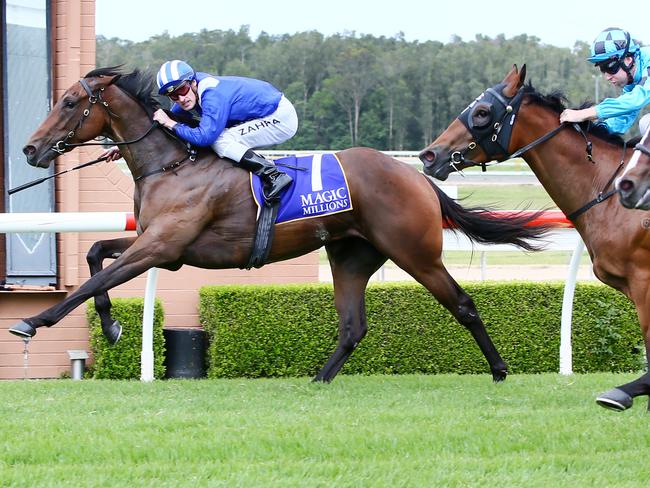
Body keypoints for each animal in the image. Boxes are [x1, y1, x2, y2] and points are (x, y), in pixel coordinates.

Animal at [7, 66, 548, 384]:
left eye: (70, 103)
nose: (31, 148)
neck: (171, 163)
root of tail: (415, 175)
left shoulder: (161, 247)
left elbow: (88, 282)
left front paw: (32, 321)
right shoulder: (160, 245)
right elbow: (95, 254)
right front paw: (113, 325)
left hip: (415, 252)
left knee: (463, 304)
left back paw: (500, 370)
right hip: (351, 256)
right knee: (353, 326)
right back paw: (318, 379)